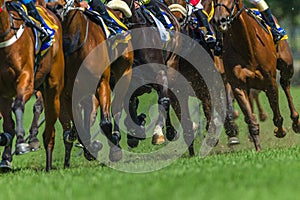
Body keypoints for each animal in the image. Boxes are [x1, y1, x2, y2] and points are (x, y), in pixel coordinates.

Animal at [0, 0, 64, 171]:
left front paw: (22, 142)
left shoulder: (27, 80)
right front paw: (6, 157)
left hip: (53, 88)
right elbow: (8, 124)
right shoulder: (3, 91)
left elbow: (18, 105)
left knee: (49, 125)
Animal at [52, 0, 133, 166]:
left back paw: (115, 140)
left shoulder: (102, 83)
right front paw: (89, 148)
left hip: (125, 73)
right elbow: (78, 124)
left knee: (116, 107)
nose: (55, 7)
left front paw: (113, 150)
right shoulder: (68, 93)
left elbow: (105, 123)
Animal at [212, 0, 300, 151]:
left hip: (287, 66)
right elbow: (251, 119)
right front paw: (258, 148)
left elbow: (276, 112)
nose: (219, 20)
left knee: (285, 84)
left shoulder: (270, 81)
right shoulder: (237, 85)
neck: (246, 45)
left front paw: (280, 131)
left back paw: (296, 121)